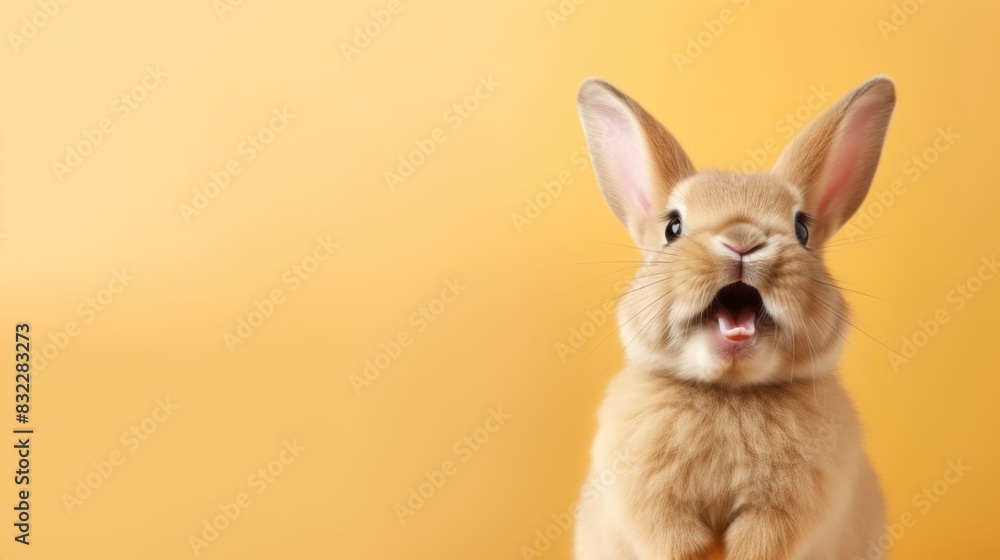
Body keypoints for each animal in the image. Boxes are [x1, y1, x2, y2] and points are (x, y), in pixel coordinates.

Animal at [572, 76, 895, 560]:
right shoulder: (651, 502)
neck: (730, 392)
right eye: (672, 228)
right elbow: (672, 537)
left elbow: (760, 541)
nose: (742, 241)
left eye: (801, 229)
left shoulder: (787, 511)